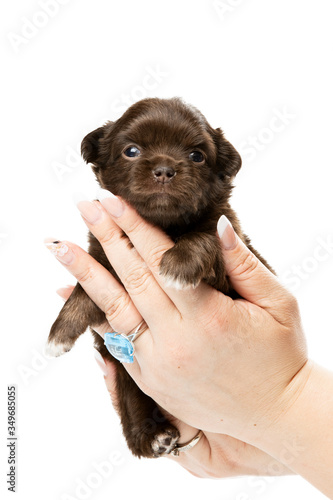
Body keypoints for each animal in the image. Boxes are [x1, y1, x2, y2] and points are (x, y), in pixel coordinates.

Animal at [45, 96, 272, 458]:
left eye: (197, 156)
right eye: (131, 151)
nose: (165, 169)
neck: (164, 225)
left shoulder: (227, 236)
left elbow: (203, 235)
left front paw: (178, 264)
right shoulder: (103, 260)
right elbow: (82, 293)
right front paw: (60, 332)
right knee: (130, 391)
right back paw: (149, 435)